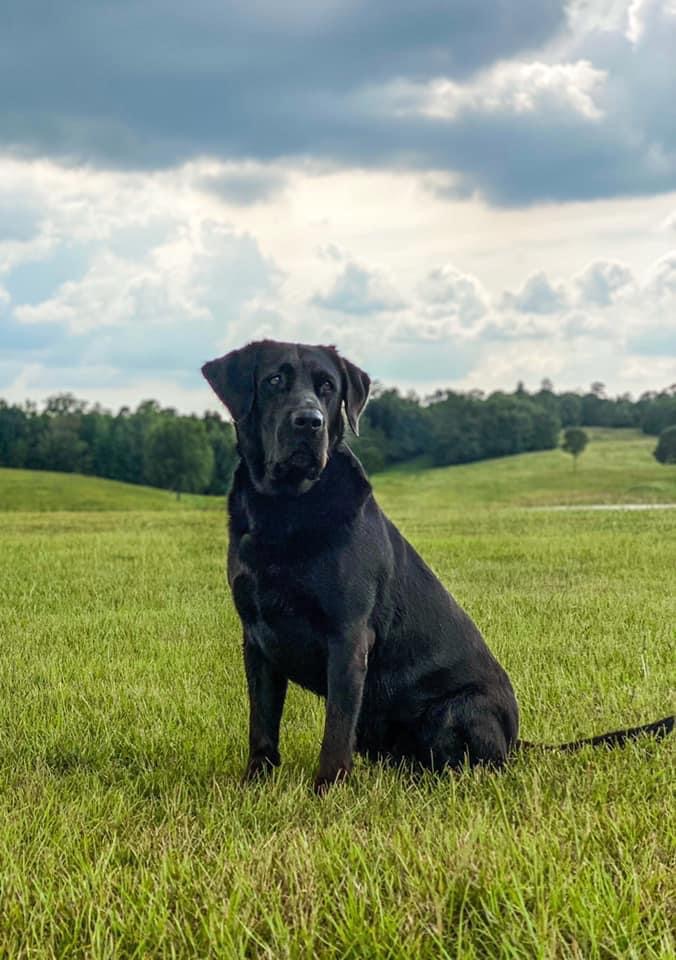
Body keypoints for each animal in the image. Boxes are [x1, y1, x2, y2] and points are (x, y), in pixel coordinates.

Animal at [202, 342, 676, 792]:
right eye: (275, 380)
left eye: (327, 387)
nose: (309, 421)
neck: (285, 506)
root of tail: (514, 739)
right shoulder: (257, 639)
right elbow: (262, 725)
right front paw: (255, 786)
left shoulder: (348, 637)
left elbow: (335, 732)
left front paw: (325, 793)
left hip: (456, 709)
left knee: (470, 765)